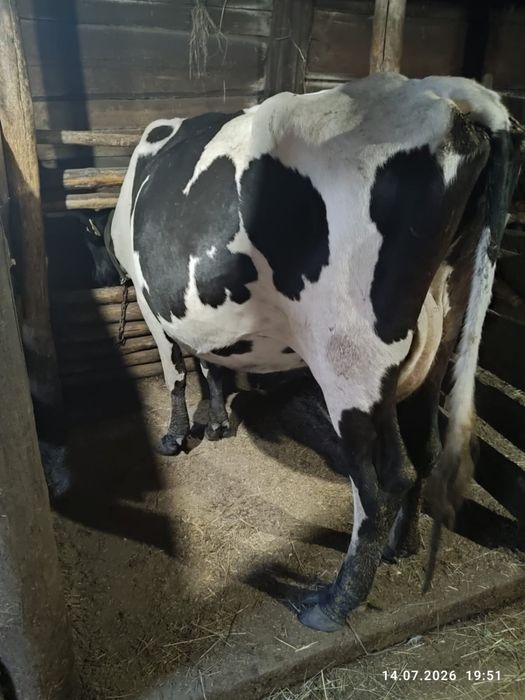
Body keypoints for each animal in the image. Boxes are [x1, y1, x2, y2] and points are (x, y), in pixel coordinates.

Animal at [110, 73, 523, 632]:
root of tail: (445, 94)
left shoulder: (151, 303)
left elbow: (177, 368)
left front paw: (176, 436)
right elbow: (212, 362)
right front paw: (215, 422)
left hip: (348, 356)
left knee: (379, 483)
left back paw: (333, 603)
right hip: (431, 343)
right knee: (421, 454)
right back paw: (403, 546)